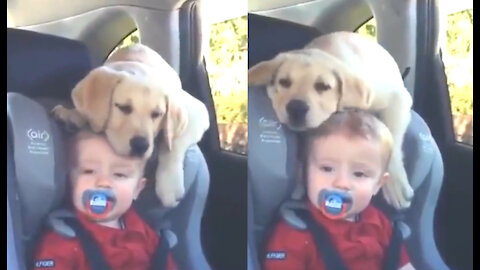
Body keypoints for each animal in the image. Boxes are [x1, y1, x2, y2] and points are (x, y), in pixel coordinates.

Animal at [53, 44, 209, 208]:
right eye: (123, 107)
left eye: (157, 114)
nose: (140, 146)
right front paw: (73, 115)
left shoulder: (198, 111)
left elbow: (171, 145)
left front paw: (169, 184)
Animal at [248, 31, 412, 209]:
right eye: (284, 82)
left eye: (323, 86)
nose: (296, 108)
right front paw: (300, 182)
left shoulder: (398, 98)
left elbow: (393, 138)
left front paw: (396, 183)